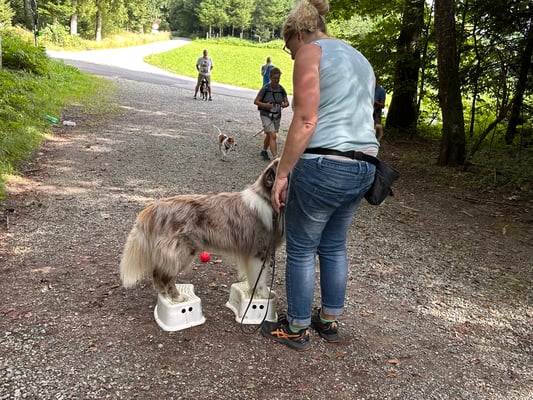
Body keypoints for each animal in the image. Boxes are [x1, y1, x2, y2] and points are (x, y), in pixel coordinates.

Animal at [119, 159, 284, 303]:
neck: (267, 200)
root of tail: (153, 207)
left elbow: (252, 278)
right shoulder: (260, 252)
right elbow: (260, 278)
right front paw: (265, 294)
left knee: (157, 271)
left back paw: (163, 293)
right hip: (182, 252)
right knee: (165, 275)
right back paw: (176, 297)